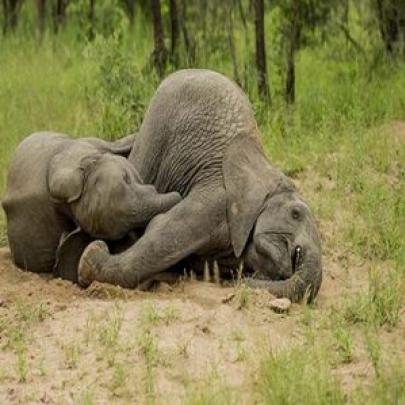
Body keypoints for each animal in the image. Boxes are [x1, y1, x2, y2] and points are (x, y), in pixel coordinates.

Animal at [79, 69, 322, 302]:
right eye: (295, 213)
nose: (240, 282)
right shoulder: (216, 202)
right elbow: (161, 235)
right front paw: (91, 257)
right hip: (156, 124)